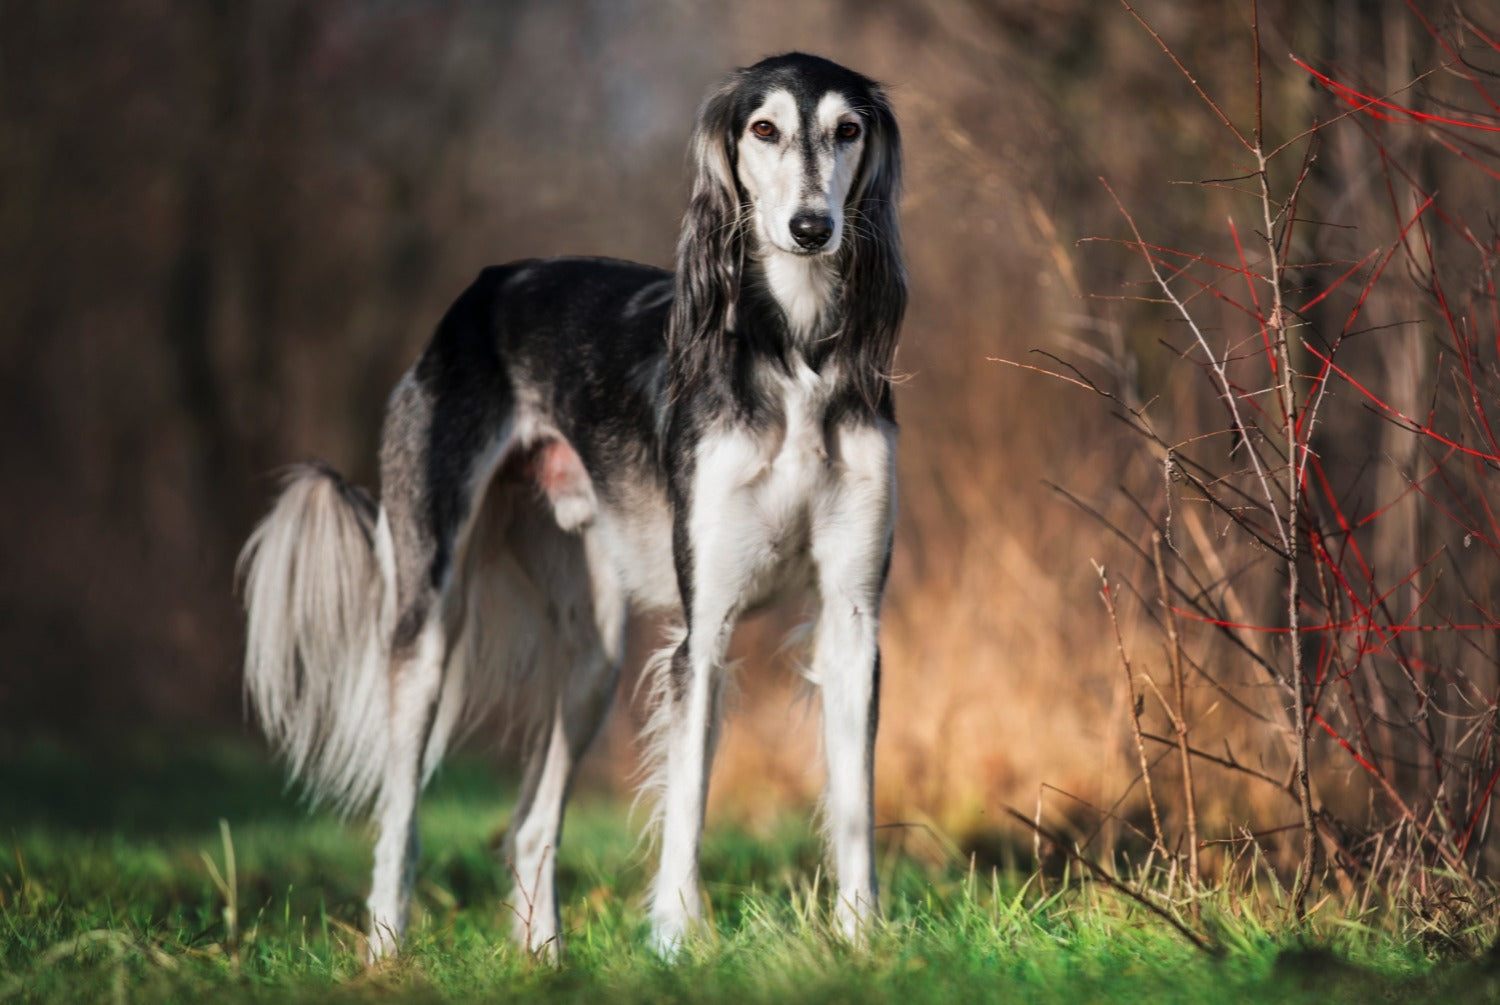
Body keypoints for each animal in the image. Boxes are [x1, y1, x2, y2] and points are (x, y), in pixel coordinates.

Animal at [240, 53, 906, 960]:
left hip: (593, 651)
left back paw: (545, 959)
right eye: (763, 129)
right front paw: (674, 944)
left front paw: (862, 942)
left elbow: (855, 804)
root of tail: (482, 289)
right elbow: (687, 804)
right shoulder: (706, 626)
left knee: (529, 825)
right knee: (399, 818)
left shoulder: (852, 617)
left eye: (848, 129)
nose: (811, 227)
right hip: (428, 612)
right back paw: (385, 950)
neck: (794, 353)